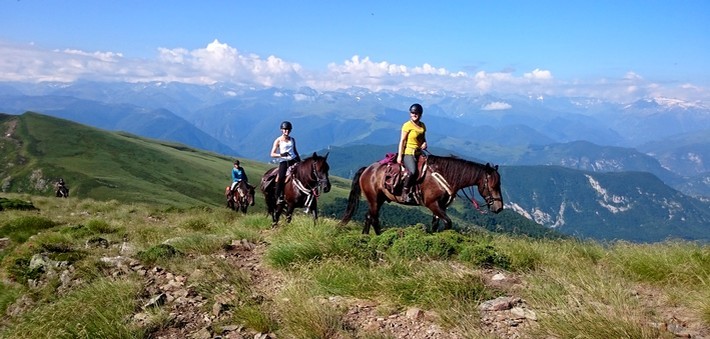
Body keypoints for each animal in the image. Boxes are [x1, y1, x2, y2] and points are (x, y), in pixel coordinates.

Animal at [340, 155, 504, 235]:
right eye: (493, 185)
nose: (499, 208)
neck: (443, 176)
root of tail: (367, 169)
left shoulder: (440, 206)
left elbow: (436, 224)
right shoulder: (432, 204)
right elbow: (448, 223)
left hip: (379, 199)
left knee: (369, 216)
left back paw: (367, 236)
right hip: (374, 199)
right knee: (372, 217)